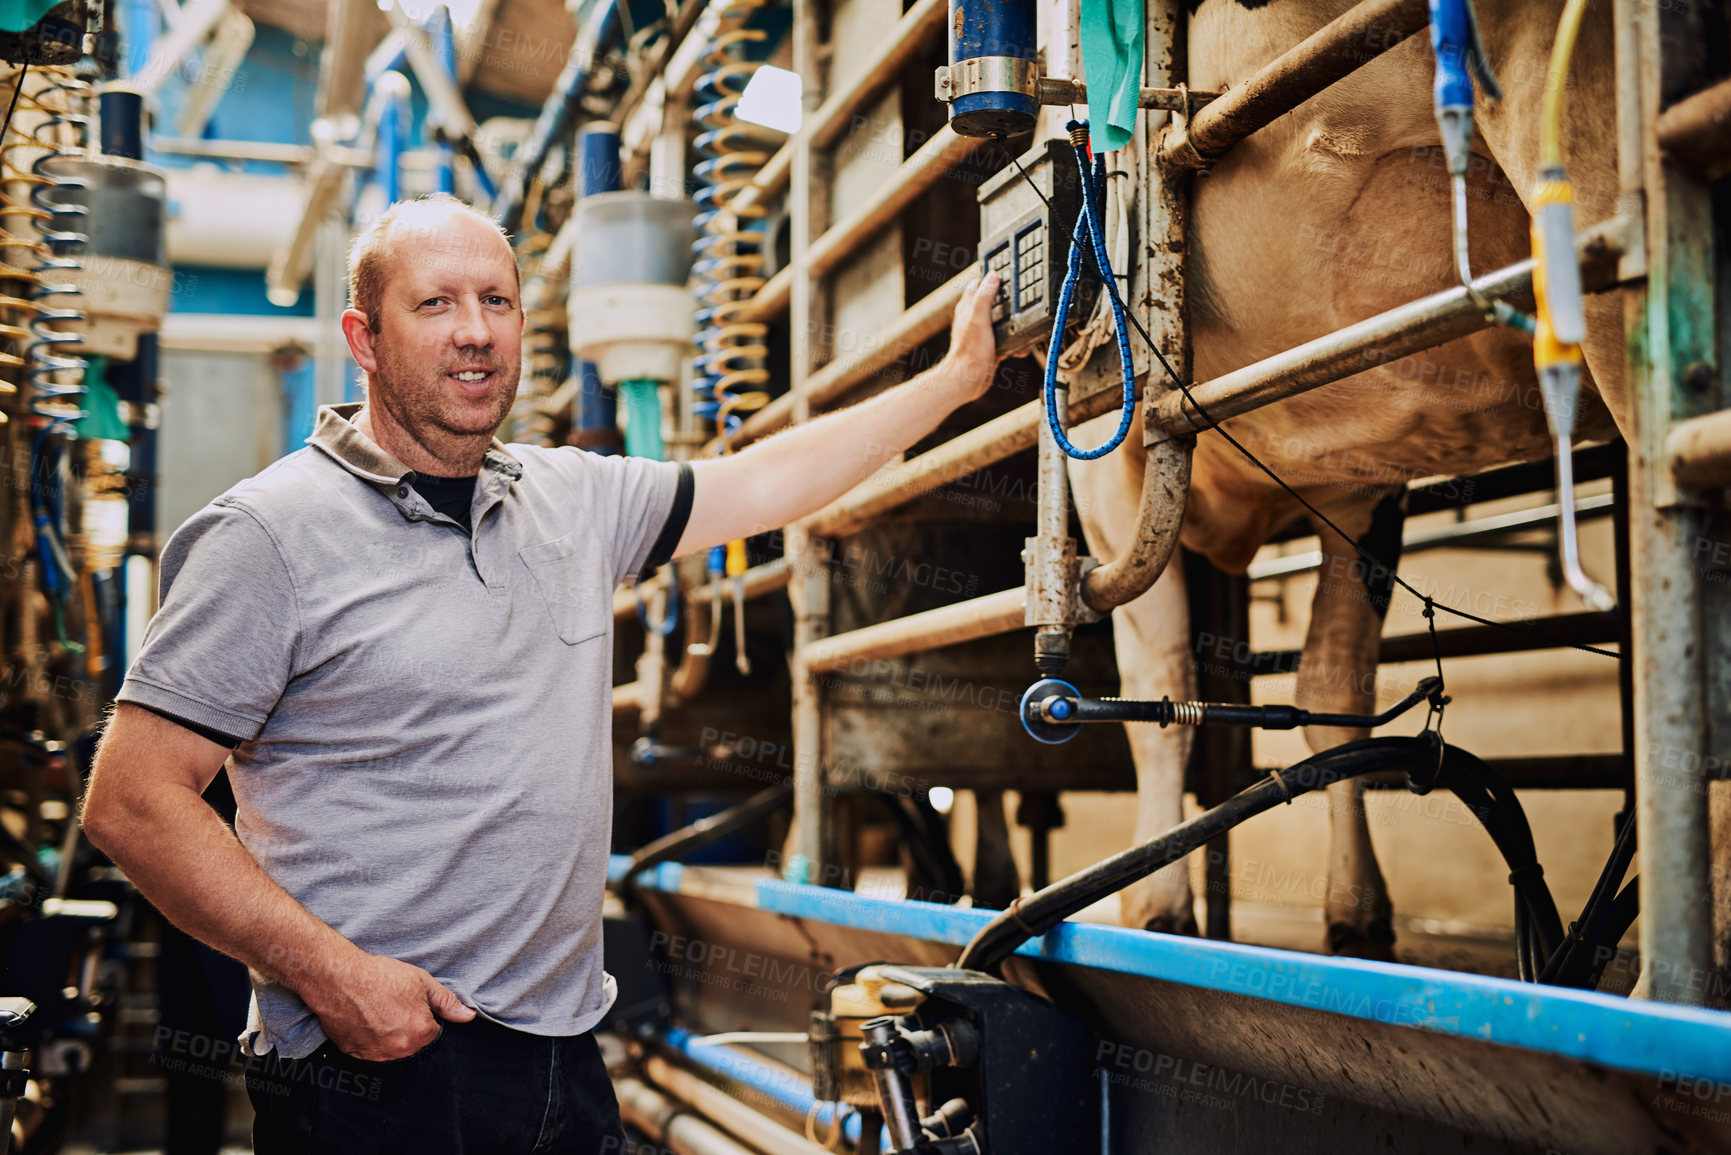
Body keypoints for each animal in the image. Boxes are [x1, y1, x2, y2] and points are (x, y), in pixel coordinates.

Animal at [1059, 0, 1627, 955]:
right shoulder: (1111, 464)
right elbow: (1163, 686)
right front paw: (1158, 904)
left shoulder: (1357, 490)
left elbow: (1334, 681)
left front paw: (1356, 913)